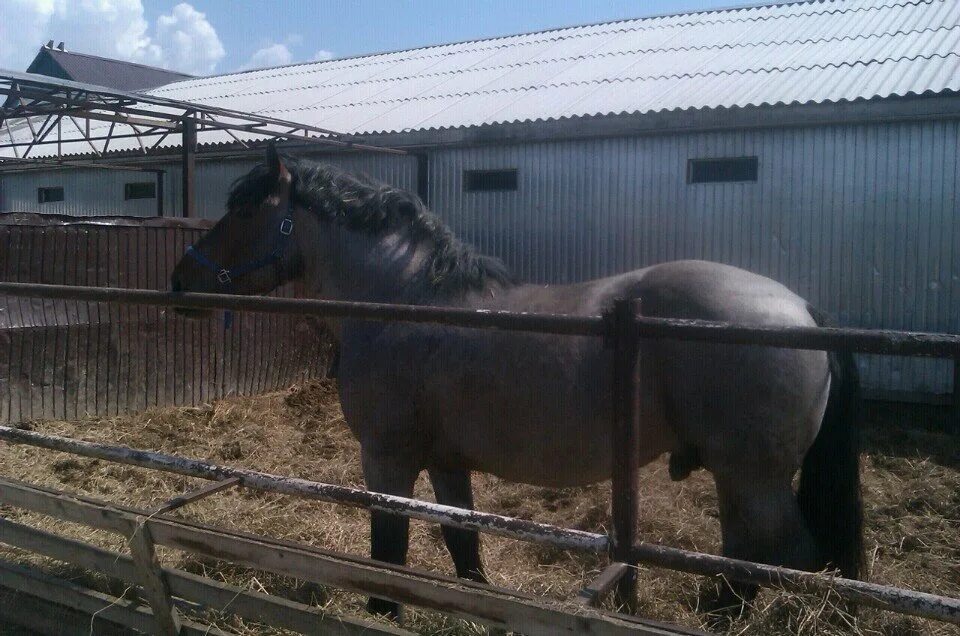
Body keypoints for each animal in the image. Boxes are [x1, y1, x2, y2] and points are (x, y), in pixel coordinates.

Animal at [171, 147, 864, 620]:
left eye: (243, 210)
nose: (180, 282)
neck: (409, 304)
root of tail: (801, 310)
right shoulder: (445, 462)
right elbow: (463, 543)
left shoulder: (387, 461)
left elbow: (388, 551)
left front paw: (384, 612)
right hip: (736, 479)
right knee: (745, 561)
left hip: (755, 480)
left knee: (790, 562)